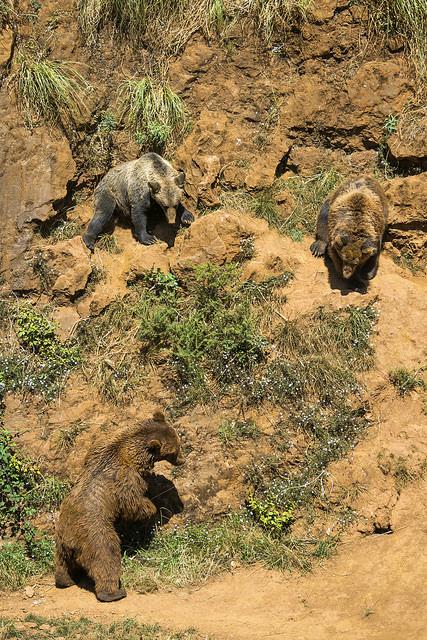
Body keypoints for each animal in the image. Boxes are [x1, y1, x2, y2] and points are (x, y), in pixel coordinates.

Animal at [54, 412, 184, 604]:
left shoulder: (100, 445)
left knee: (61, 562)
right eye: (175, 450)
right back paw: (113, 592)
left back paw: (65, 581)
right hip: (96, 534)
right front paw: (152, 508)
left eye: (178, 442)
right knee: (106, 558)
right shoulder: (125, 478)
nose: (183, 460)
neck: (129, 450)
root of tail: (71, 540)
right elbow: (133, 503)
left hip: (60, 537)